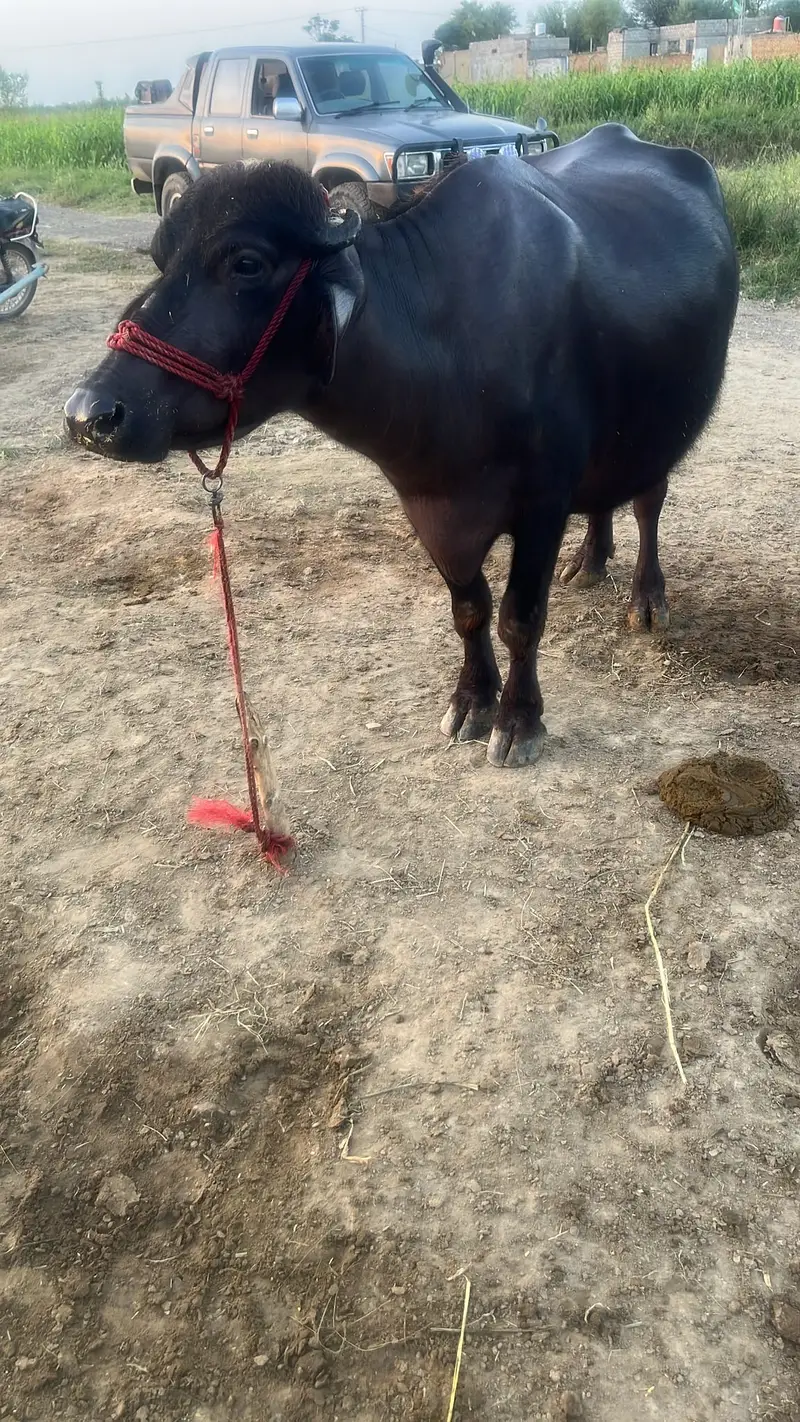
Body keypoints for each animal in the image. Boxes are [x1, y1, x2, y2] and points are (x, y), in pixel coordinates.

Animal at [64, 124, 739, 767]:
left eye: (247, 263)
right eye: (162, 257)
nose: (90, 415)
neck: (448, 344)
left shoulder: (543, 502)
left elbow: (520, 619)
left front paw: (519, 722)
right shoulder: (430, 508)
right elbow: (470, 611)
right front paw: (471, 702)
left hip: (666, 422)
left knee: (649, 500)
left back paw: (647, 599)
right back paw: (591, 559)